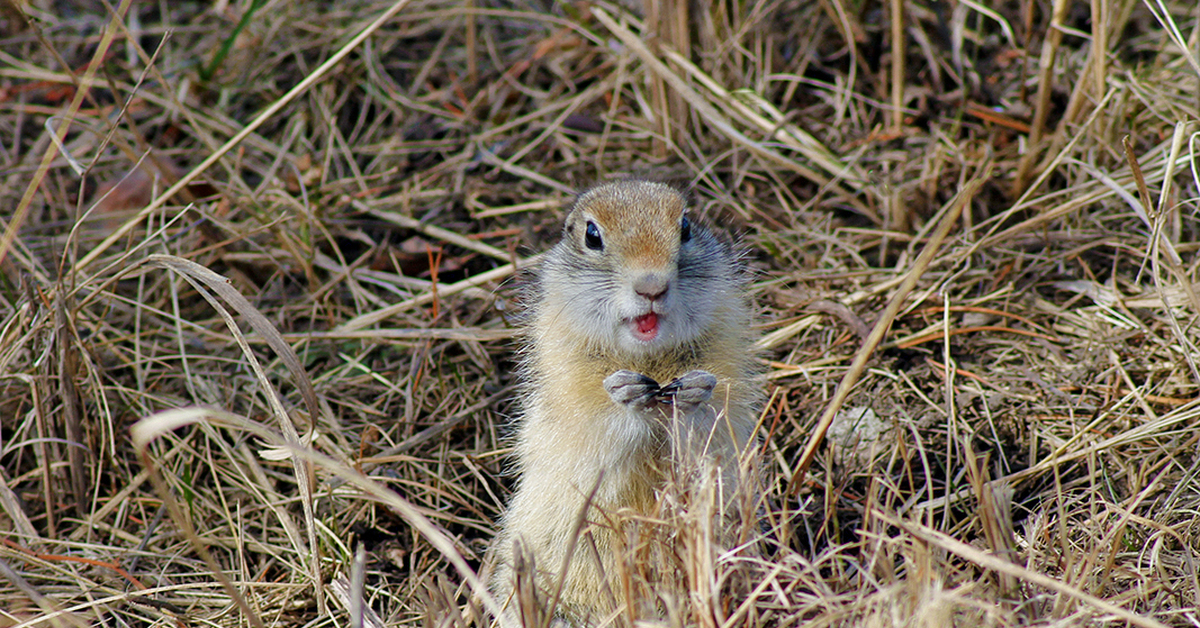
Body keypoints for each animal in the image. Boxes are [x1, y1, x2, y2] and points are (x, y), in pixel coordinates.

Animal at [487, 178, 758, 624]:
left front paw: (694, 392)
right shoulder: (568, 389)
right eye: (592, 235)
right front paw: (624, 393)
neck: (647, 359)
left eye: (686, 227)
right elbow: (596, 429)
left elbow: (710, 435)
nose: (652, 287)